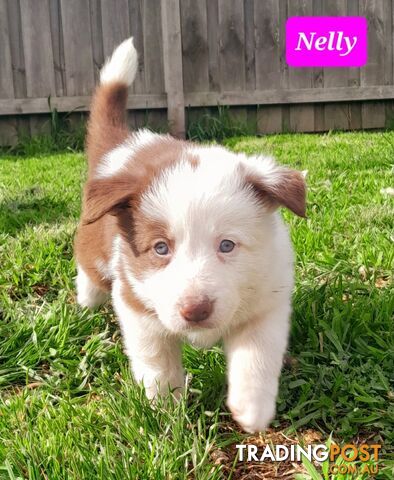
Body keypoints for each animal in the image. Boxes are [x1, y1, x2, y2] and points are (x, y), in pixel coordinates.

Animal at [74, 39, 308, 434]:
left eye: (227, 245)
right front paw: (167, 410)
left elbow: (257, 356)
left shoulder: (266, 302)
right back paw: (85, 299)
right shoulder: (138, 306)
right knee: (89, 277)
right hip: (94, 251)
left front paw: (252, 409)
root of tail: (120, 146)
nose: (195, 310)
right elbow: (158, 362)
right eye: (160, 248)